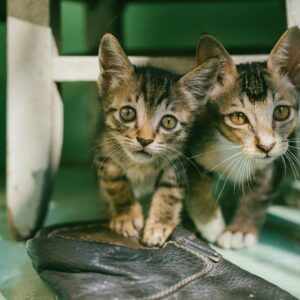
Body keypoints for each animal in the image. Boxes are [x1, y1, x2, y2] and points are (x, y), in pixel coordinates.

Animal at [95, 33, 219, 246]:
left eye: (168, 121)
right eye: (127, 113)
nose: (144, 141)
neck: (141, 166)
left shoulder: (177, 160)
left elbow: (169, 192)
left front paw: (160, 224)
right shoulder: (103, 151)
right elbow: (115, 181)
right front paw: (126, 216)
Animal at [188, 27, 300, 248]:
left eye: (281, 112)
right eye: (238, 117)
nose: (266, 146)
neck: (236, 150)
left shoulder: (276, 160)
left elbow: (258, 195)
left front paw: (239, 230)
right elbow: (195, 185)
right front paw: (211, 223)